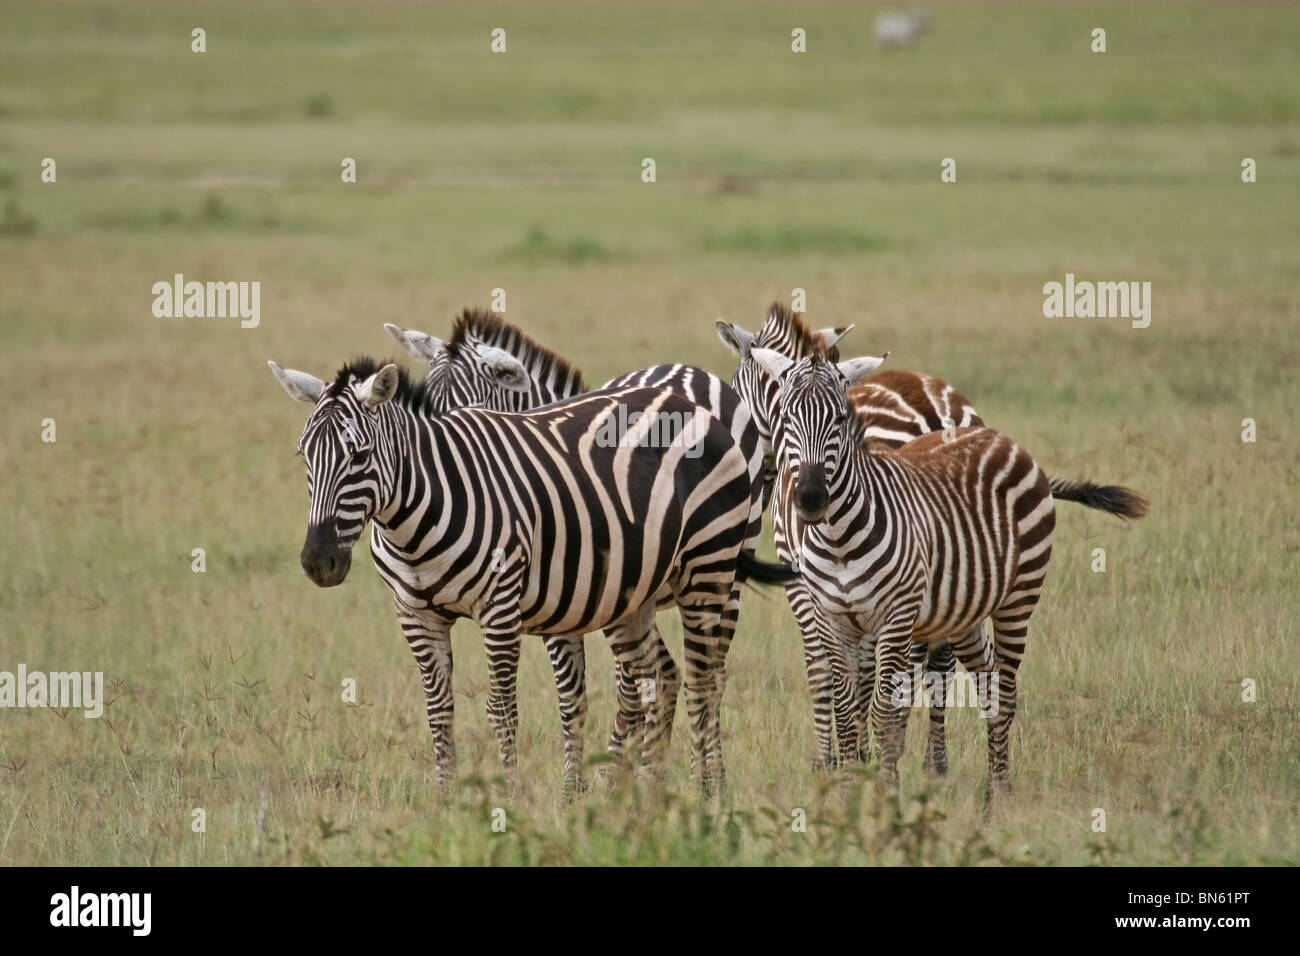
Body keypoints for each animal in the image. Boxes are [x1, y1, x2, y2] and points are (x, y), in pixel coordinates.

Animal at [268, 356, 791, 797]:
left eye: (359, 455)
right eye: (302, 457)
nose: (318, 561)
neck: (413, 520)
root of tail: (690, 402)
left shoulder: (499, 606)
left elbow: (502, 710)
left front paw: (507, 797)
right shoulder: (416, 614)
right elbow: (439, 710)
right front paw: (445, 801)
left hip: (710, 569)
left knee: (705, 681)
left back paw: (707, 794)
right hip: (632, 593)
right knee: (657, 676)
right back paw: (645, 793)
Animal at [717, 302, 1148, 773]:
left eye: (735, 390)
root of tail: (941, 411)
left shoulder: (809, 589)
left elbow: (825, 672)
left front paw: (836, 760)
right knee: (944, 663)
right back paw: (934, 764)